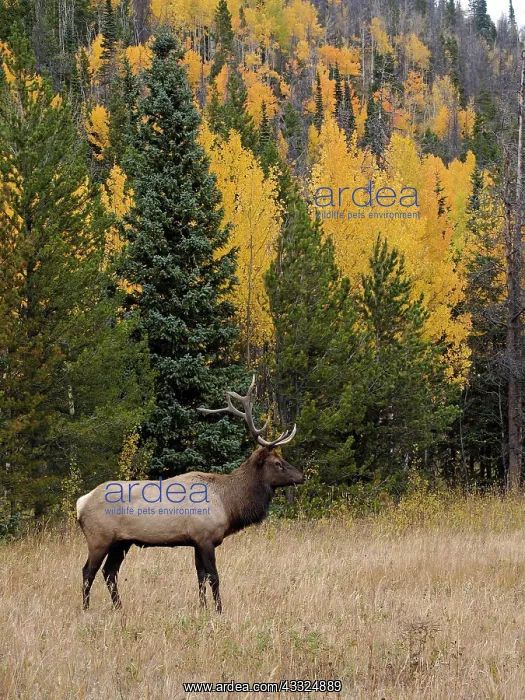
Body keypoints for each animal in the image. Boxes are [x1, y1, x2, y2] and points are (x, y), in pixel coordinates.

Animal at [76, 377, 304, 613]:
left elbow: (200, 577)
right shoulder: (205, 537)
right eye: (277, 464)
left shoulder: (196, 540)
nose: (302, 476)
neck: (229, 505)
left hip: (122, 542)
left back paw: (119, 608)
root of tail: (81, 503)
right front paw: (219, 610)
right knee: (88, 571)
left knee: (109, 572)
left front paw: (202, 608)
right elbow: (214, 577)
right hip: (99, 538)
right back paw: (86, 608)